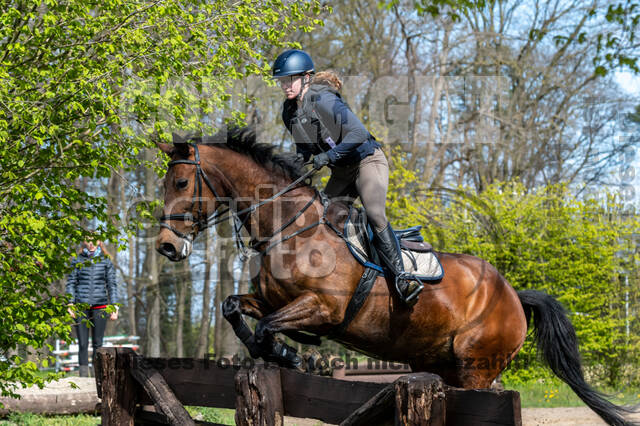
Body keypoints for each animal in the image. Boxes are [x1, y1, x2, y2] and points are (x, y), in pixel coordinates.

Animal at [155, 127, 636, 426]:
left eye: (180, 183)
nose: (166, 245)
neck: (290, 228)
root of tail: (514, 295)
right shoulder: (272, 300)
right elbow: (235, 308)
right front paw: (285, 355)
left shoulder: (323, 308)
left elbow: (268, 327)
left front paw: (295, 356)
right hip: (437, 365)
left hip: (477, 367)